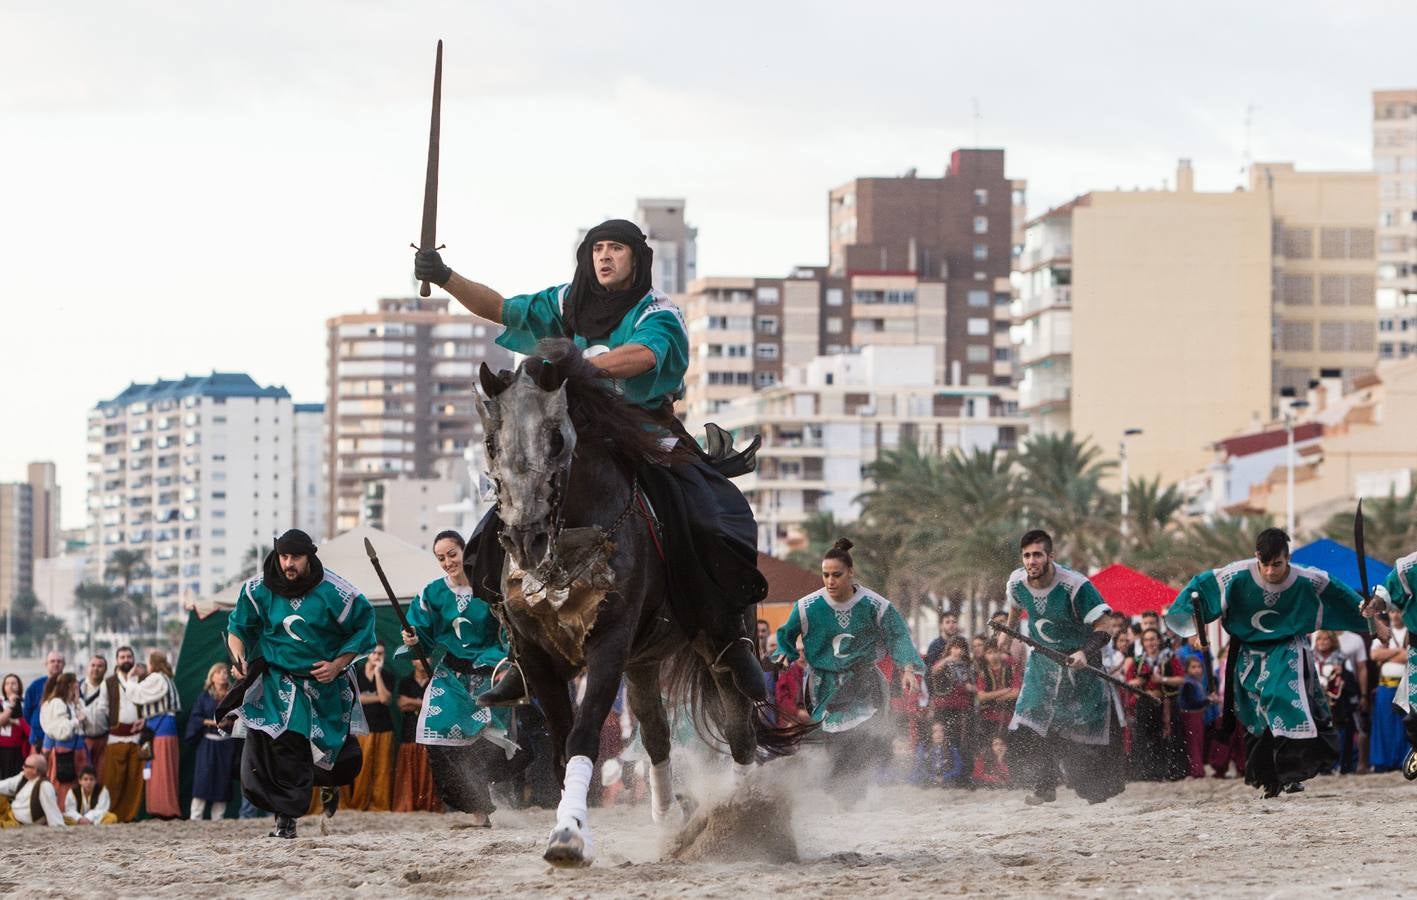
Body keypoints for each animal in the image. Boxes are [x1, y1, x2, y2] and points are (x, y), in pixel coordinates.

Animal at [476, 337, 804, 867]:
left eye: (557, 439)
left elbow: (584, 733)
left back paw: (737, 818)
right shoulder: (537, 656)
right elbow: (563, 745)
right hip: (643, 663)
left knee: (739, 728)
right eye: (491, 442)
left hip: (715, 643)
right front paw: (571, 823)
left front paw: (569, 834)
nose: (526, 539)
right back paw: (670, 821)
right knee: (656, 734)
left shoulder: (608, 645)